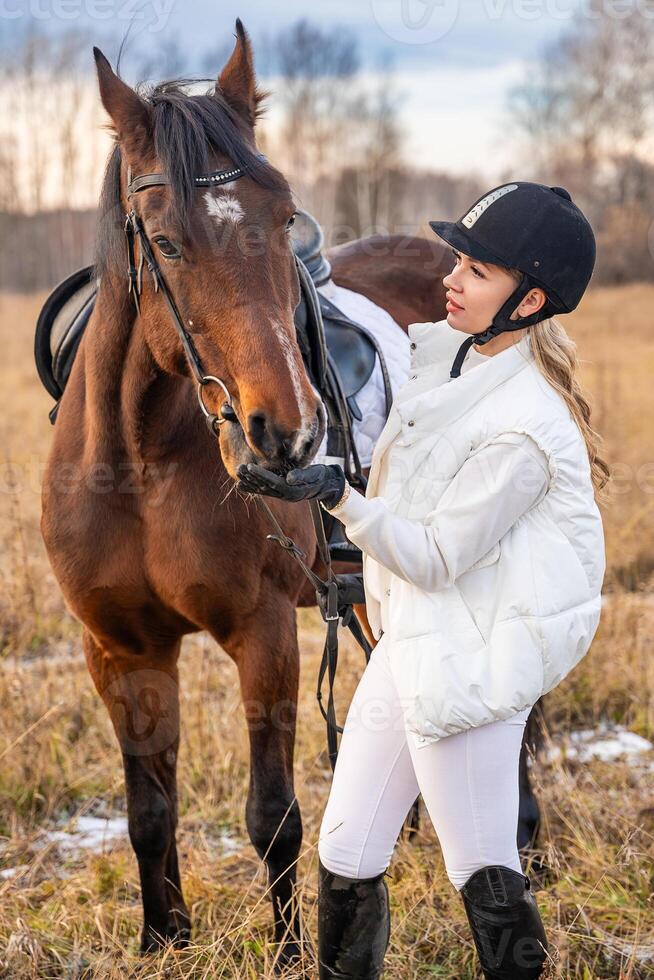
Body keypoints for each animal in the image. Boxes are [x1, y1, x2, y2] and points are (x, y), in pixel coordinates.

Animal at [39, 19, 540, 968]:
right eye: (164, 240)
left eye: (281, 219)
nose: (289, 431)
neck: (138, 460)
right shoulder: (119, 651)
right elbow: (147, 811)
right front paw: (163, 940)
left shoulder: (262, 634)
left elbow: (272, 816)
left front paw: (287, 953)